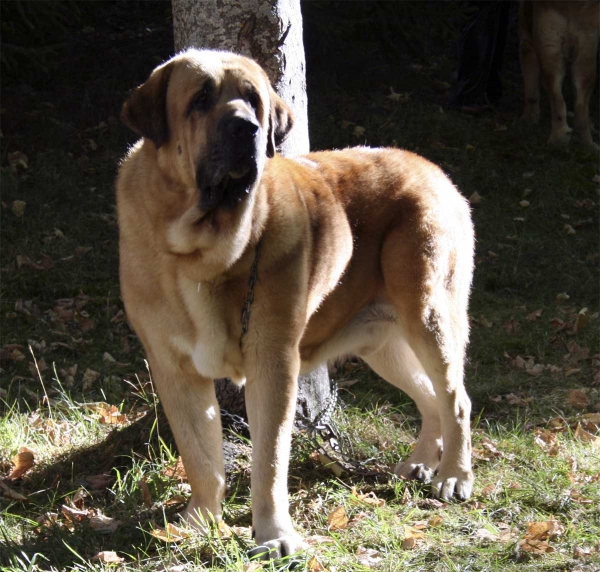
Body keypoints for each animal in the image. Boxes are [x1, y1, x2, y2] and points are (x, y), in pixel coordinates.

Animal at [116, 50, 474, 560]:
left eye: (253, 100)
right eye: (200, 99)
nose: (245, 128)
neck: (203, 253)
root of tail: (432, 169)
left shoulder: (273, 363)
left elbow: (268, 460)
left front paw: (273, 534)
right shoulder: (173, 367)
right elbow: (200, 455)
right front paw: (199, 523)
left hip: (428, 314)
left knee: (454, 398)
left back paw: (454, 476)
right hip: (380, 343)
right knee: (428, 398)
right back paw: (422, 463)